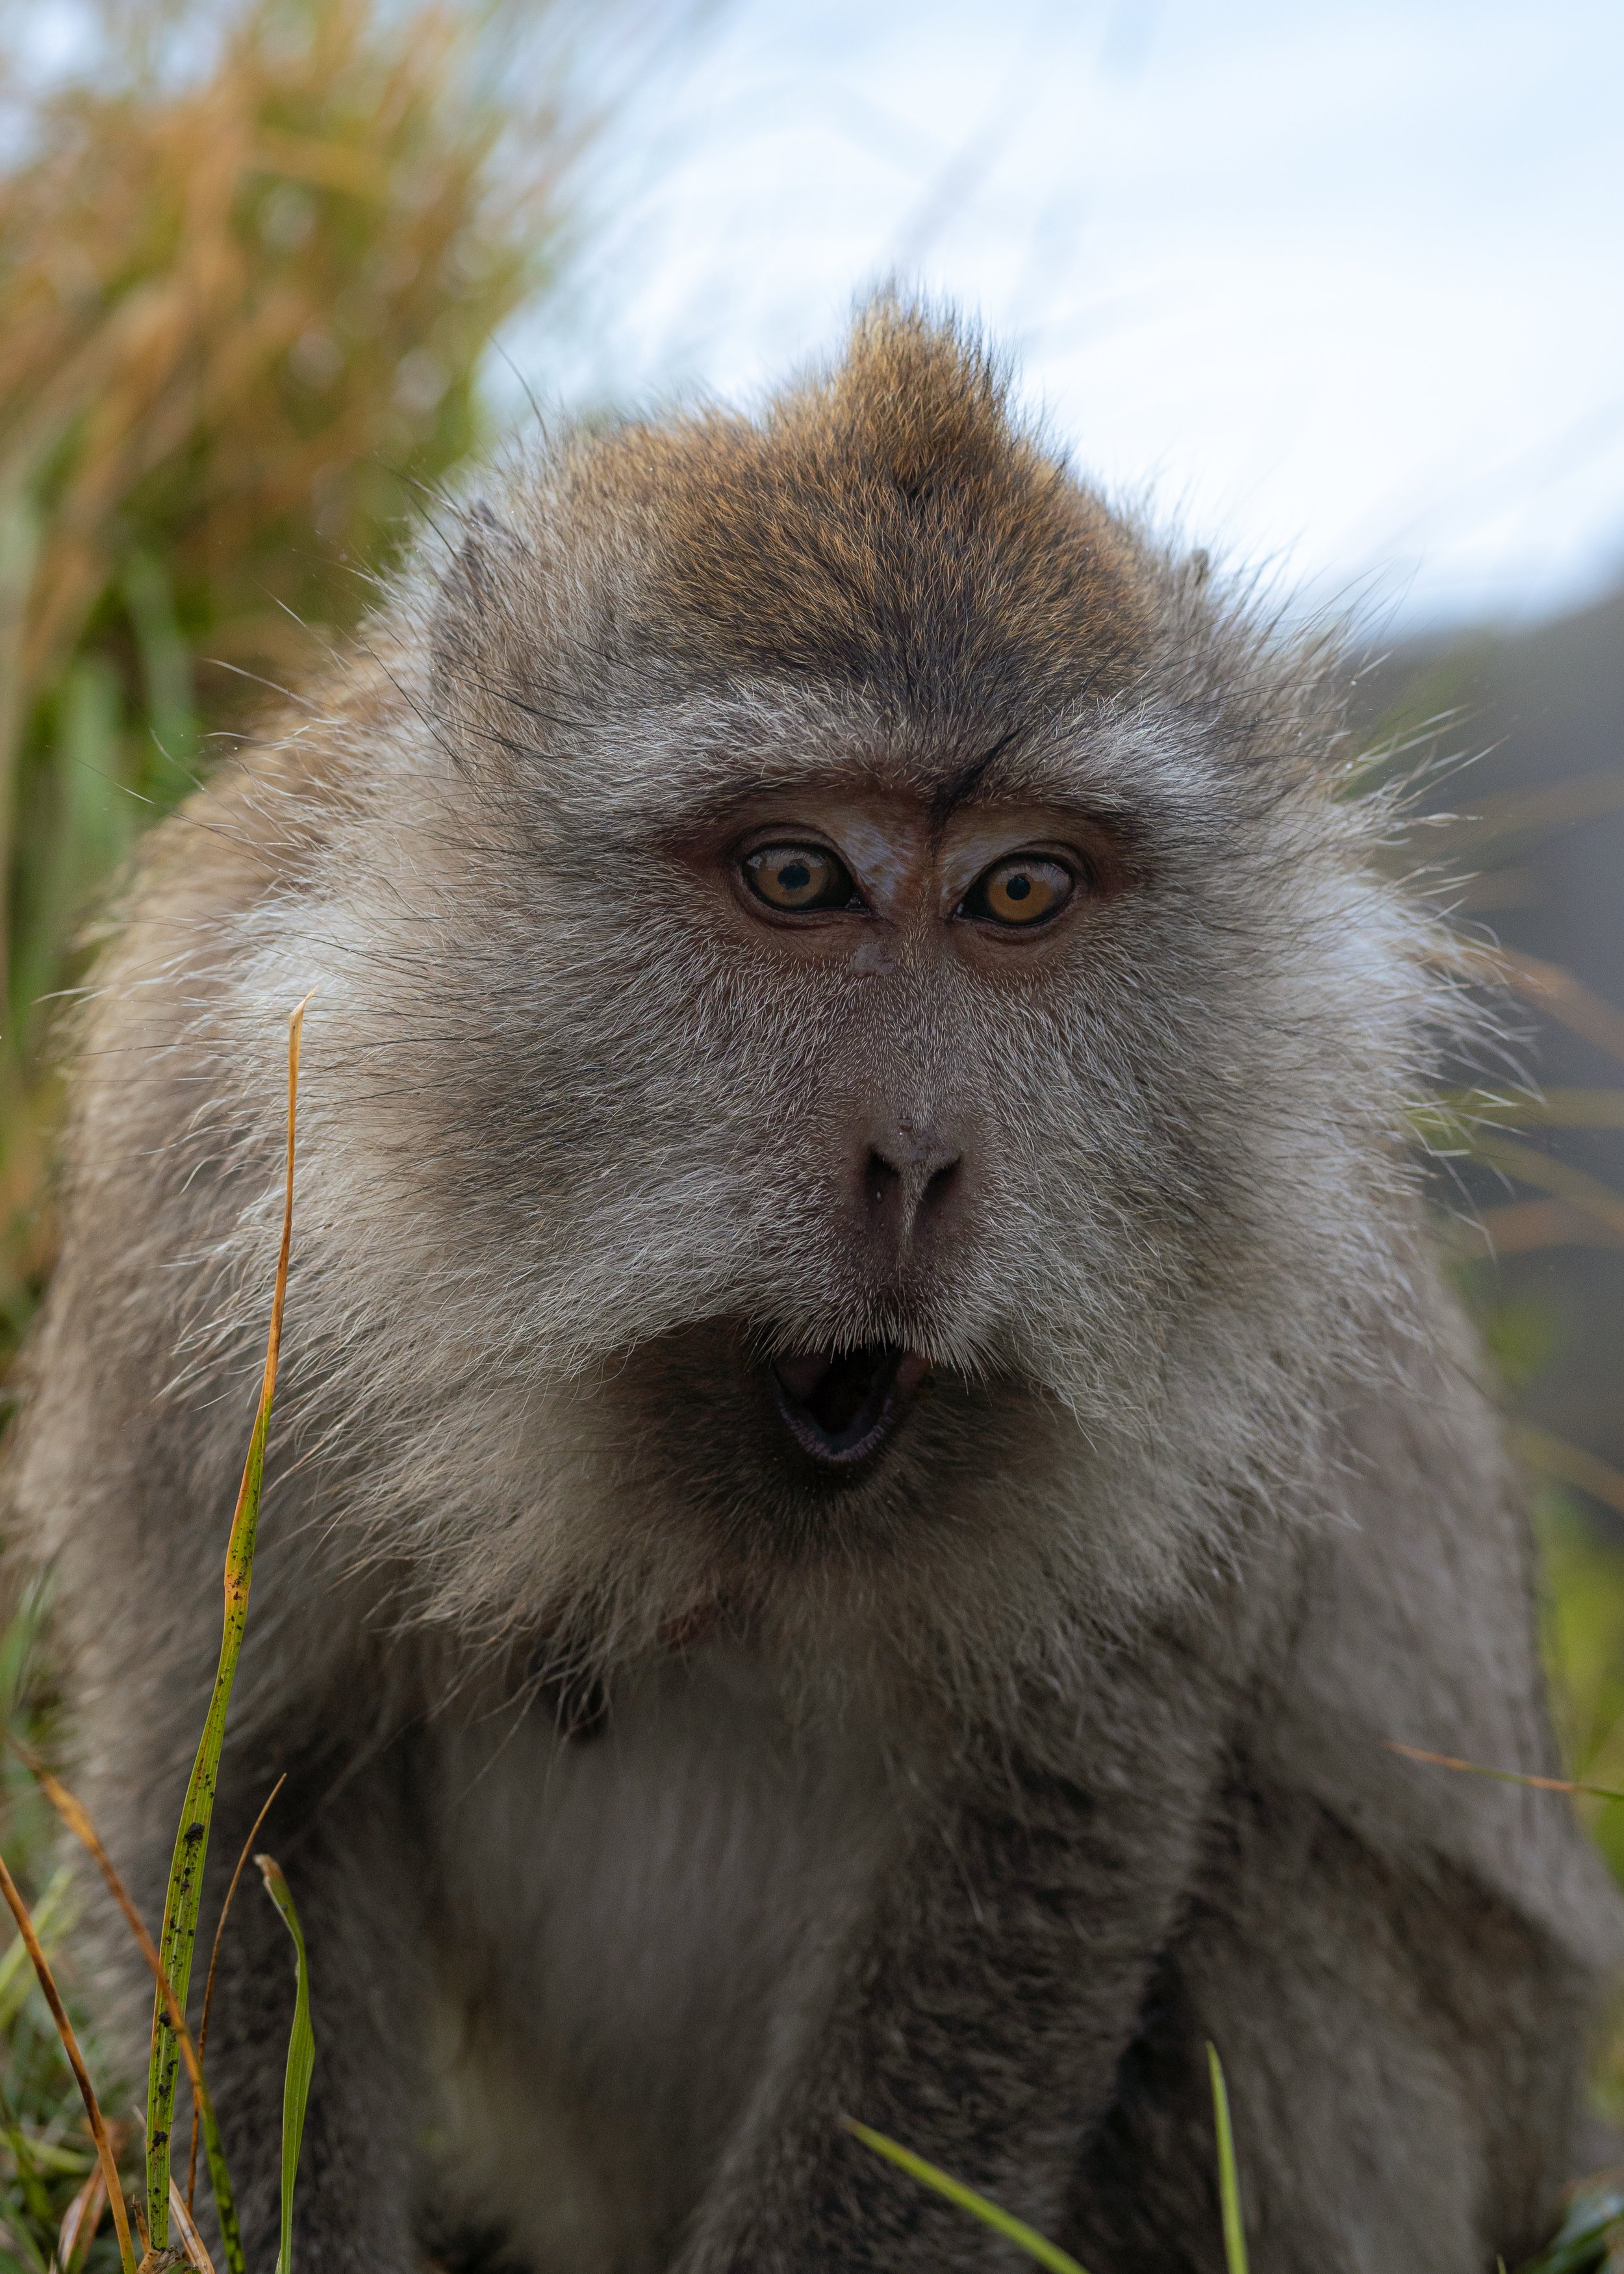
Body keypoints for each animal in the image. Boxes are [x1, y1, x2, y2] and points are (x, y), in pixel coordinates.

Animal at [8, 300, 1622, 2274]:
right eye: (795, 872)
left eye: (1019, 892)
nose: (919, 1164)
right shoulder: (206, 1159)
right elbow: (249, 1800)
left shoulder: (1237, 1311)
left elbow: (1049, 1823)